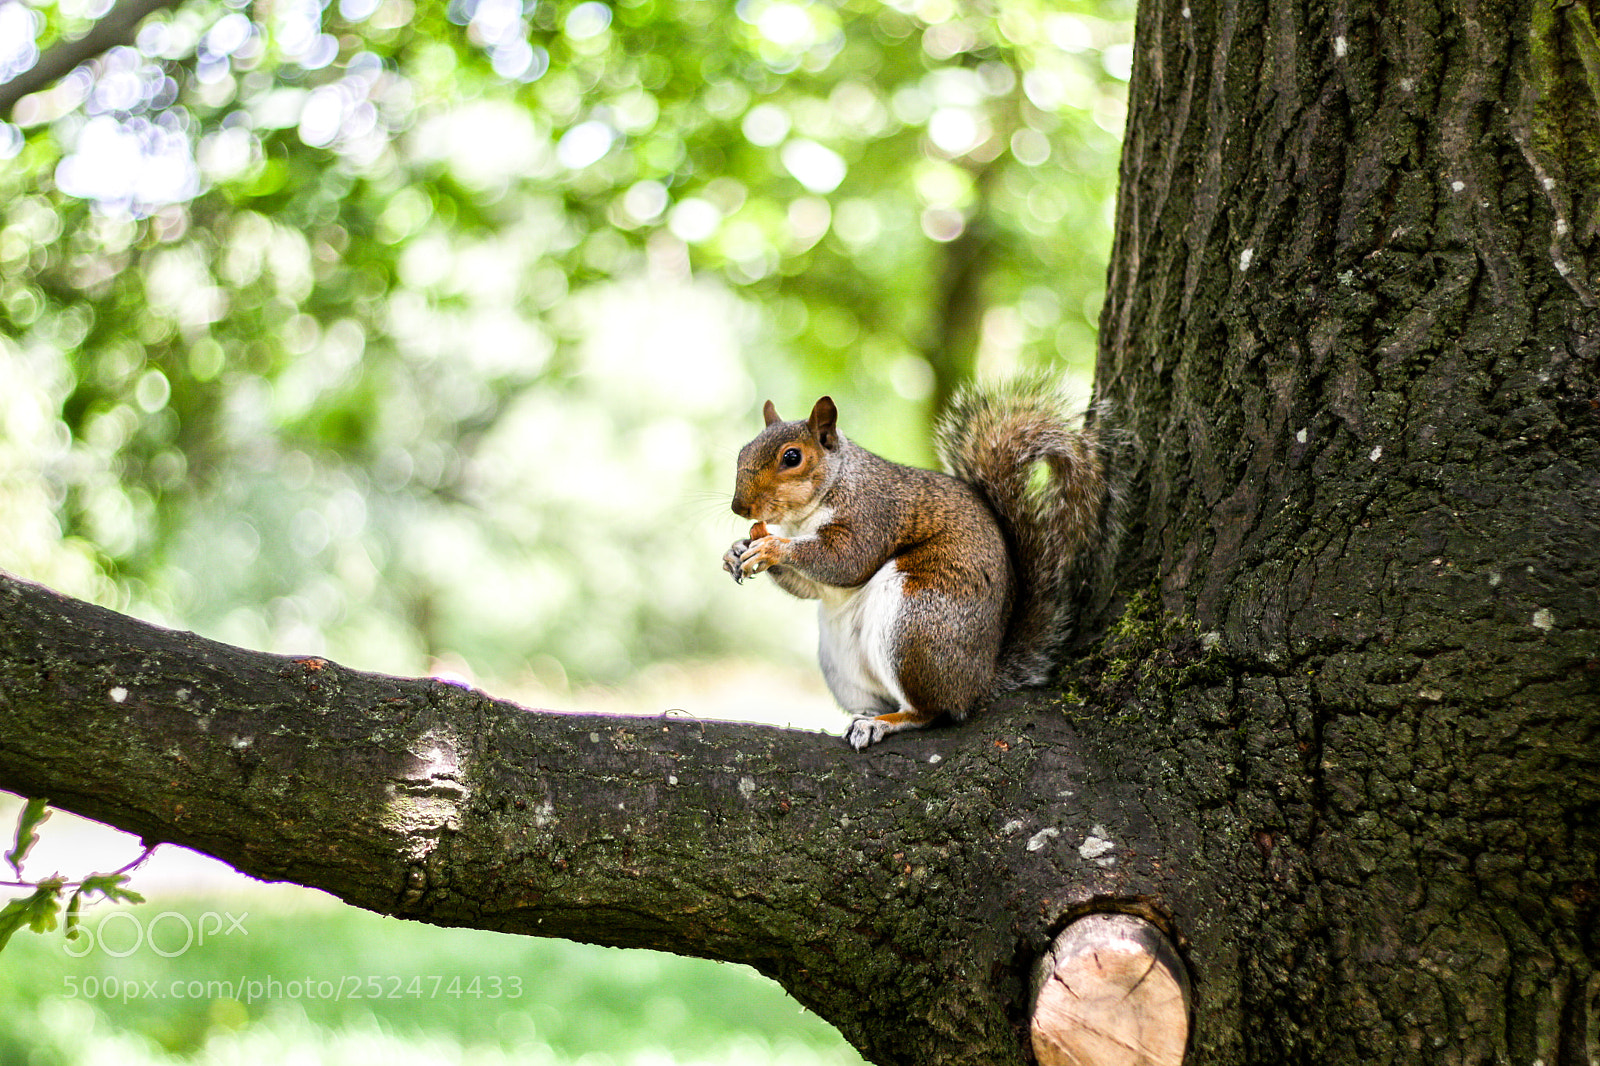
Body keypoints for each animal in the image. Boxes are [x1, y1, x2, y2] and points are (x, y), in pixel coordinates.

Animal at [721, 379, 1109, 750]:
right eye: (743, 451)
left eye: (792, 457)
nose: (740, 507)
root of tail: (978, 681)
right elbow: (807, 587)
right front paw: (738, 550)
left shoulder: (872, 515)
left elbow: (846, 560)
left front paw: (772, 547)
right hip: (843, 664)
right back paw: (868, 716)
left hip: (915, 626)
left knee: (931, 711)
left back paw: (882, 723)